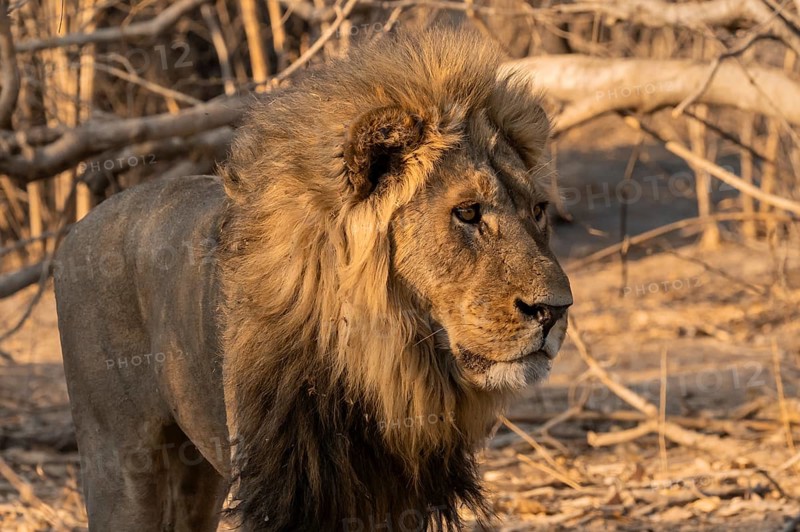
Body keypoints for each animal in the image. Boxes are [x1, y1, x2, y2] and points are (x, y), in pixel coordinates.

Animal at [54, 27, 572, 531]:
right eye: (467, 212)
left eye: (538, 210)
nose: (555, 310)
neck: (383, 362)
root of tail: (72, 235)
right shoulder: (282, 492)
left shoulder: (398, 501)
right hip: (119, 462)